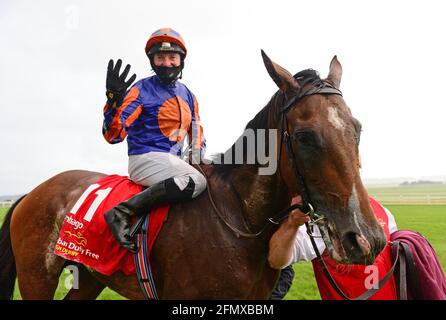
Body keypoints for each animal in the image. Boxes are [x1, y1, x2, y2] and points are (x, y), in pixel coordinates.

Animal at [0, 52, 386, 300]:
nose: (367, 240)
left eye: (357, 129)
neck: (239, 219)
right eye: (305, 137)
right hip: (37, 276)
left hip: (90, 276)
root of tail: (31, 193)